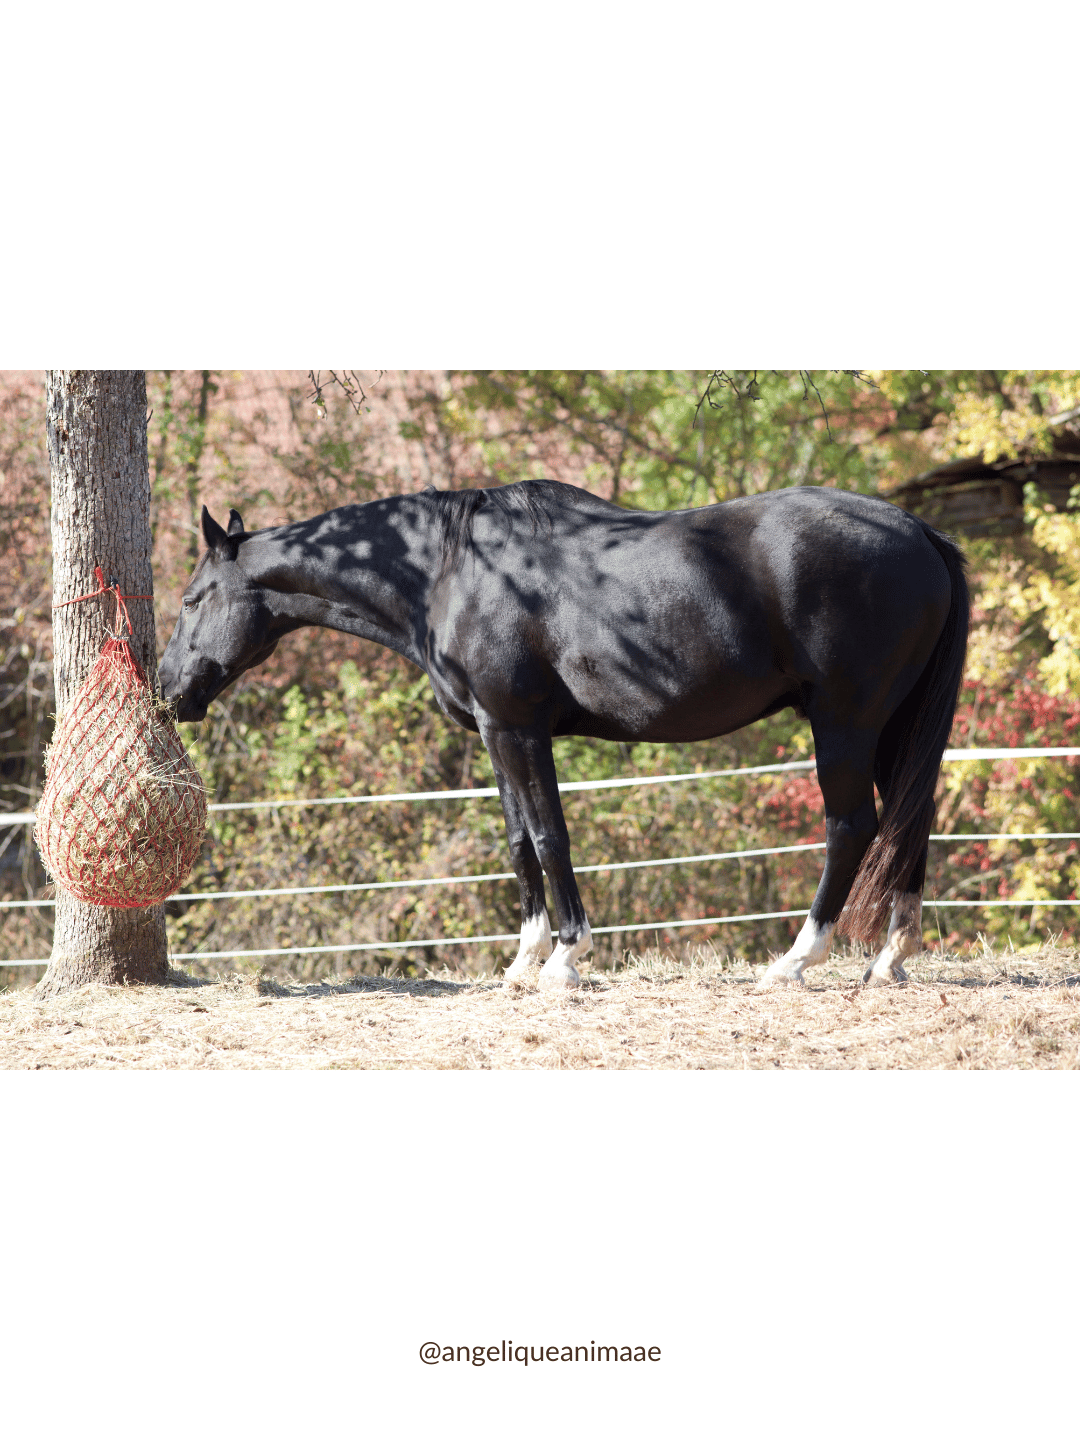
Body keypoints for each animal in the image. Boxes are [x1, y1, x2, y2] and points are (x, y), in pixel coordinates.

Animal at [158, 479, 968, 991]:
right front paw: (522, 961)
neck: (451, 571)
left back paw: (796, 960)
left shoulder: (519, 727)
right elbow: (519, 841)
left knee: (851, 826)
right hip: (894, 725)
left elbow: (551, 836)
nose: (167, 691)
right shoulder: (494, 730)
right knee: (912, 820)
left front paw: (565, 959)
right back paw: (889, 959)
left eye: (194, 598)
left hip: (845, 722)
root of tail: (918, 532)